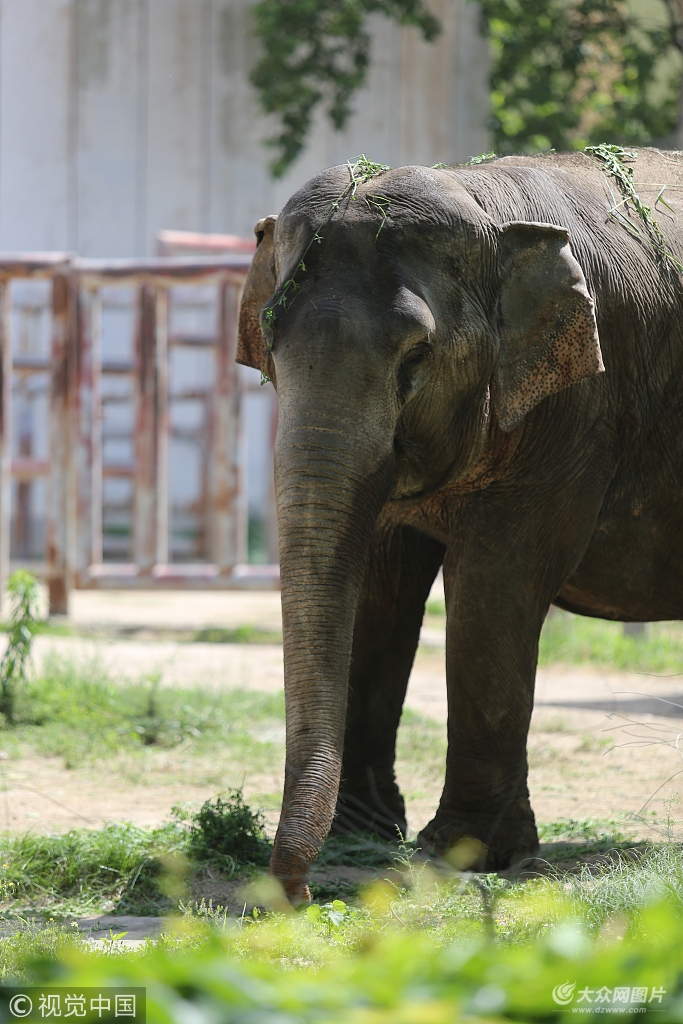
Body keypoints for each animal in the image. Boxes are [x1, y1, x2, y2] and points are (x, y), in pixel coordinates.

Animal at [236, 148, 683, 901]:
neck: (484, 201)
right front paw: (364, 834)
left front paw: (457, 856)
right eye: (268, 336)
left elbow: (493, 589)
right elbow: (378, 589)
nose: (294, 897)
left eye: (416, 355)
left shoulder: (574, 410)